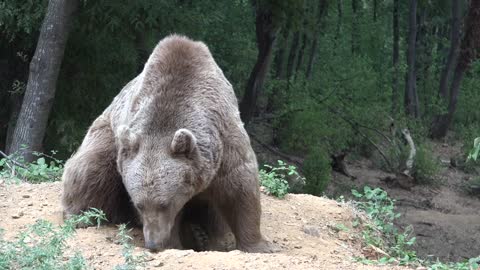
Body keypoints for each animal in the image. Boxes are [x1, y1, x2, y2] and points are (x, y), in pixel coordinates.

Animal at [61, 34, 274, 253]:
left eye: (164, 204)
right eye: (139, 205)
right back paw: (80, 215)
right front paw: (174, 244)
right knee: (91, 168)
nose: (153, 243)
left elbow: (240, 190)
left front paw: (258, 245)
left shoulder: (223, 143)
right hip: (107, 135)